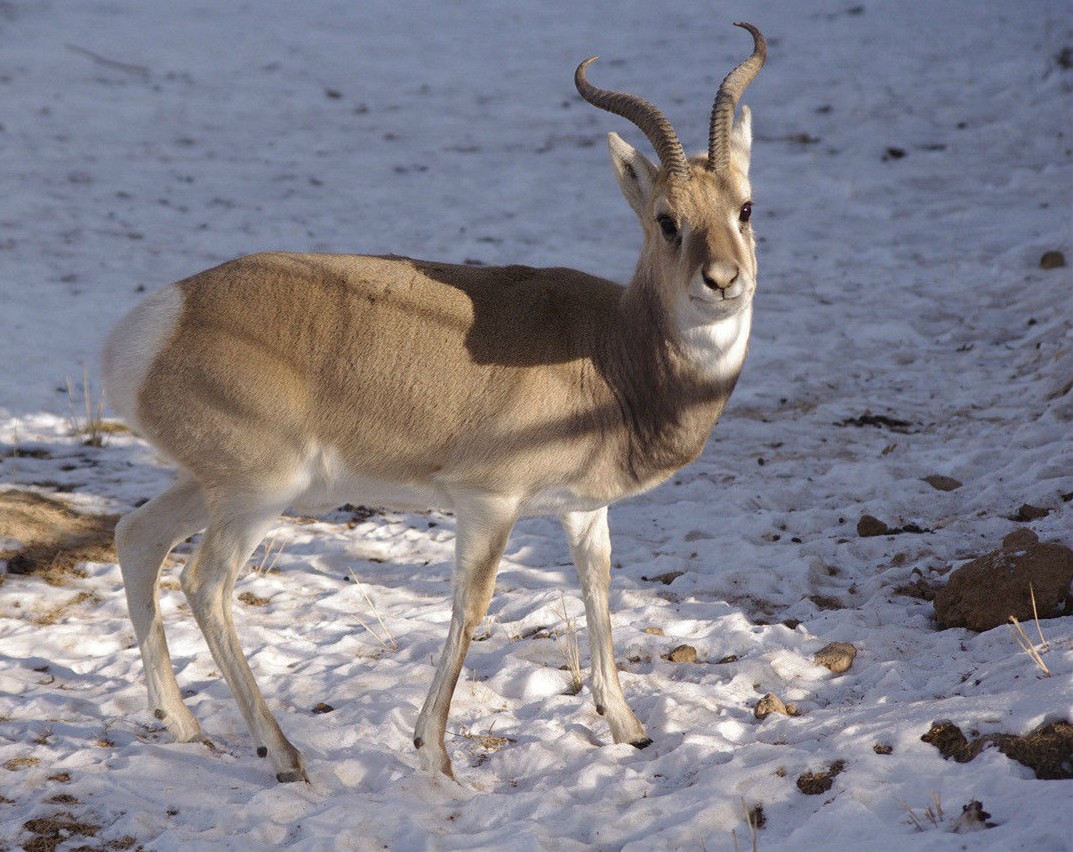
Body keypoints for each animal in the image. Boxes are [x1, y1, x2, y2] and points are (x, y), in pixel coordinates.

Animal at [102, 23, 763, 781]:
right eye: (666, 220)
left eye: (744, 208)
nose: (724, 280)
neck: (610, 348)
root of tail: (153, 325)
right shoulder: (487, 502)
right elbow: (470, 607)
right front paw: (436, 754)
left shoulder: (584, 510)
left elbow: (598, 590)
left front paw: (629, 727)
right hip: (258, 492)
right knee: (205, 583)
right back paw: (284, 753)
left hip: (209, 483)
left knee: (137, 536)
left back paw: (181, 723)